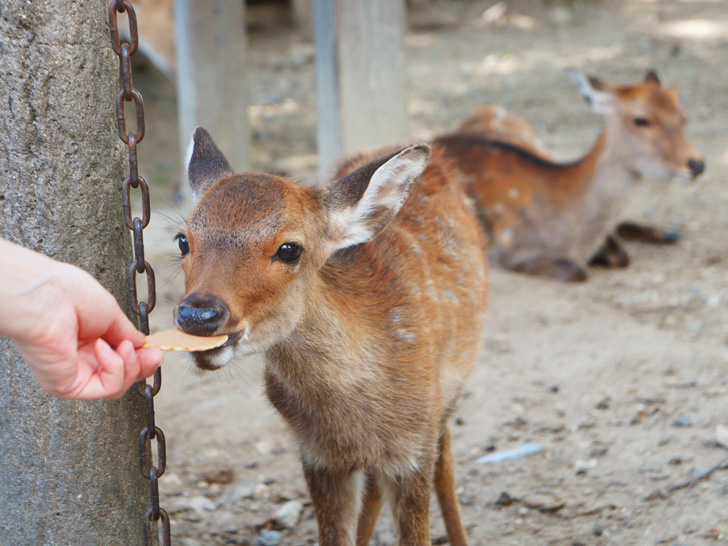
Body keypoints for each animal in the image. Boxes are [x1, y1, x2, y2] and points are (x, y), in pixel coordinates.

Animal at [173, 129, 486, 544]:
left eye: (289, 249)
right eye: (182, 240)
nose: (199, 315)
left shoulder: (414, 444)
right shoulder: (317, 456)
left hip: (449, 392)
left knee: (446, 461)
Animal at [436, 69, 704, 280]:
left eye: (684, 117)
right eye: (641, 119)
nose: (697, 163)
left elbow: (621, 254)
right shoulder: (508, 250)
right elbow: (577, 270)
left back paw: (668, 232)